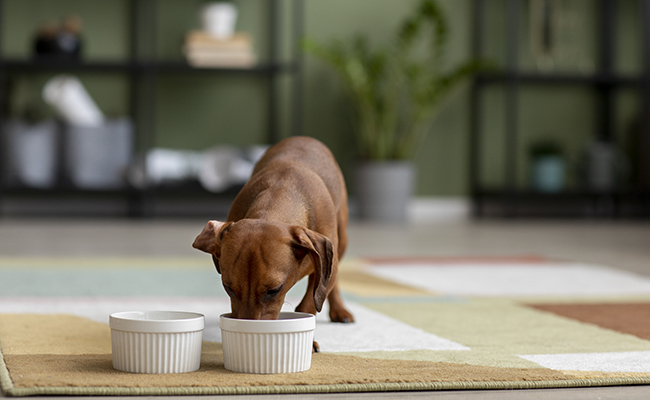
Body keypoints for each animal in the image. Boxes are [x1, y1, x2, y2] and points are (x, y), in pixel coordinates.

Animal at [191, 137, 352, 350]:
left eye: (274, 290)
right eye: (228, 287)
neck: (281, 191)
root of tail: (304, 138)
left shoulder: (326, 268)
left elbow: (309, 303)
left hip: (341, 242)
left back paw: (339, 309)